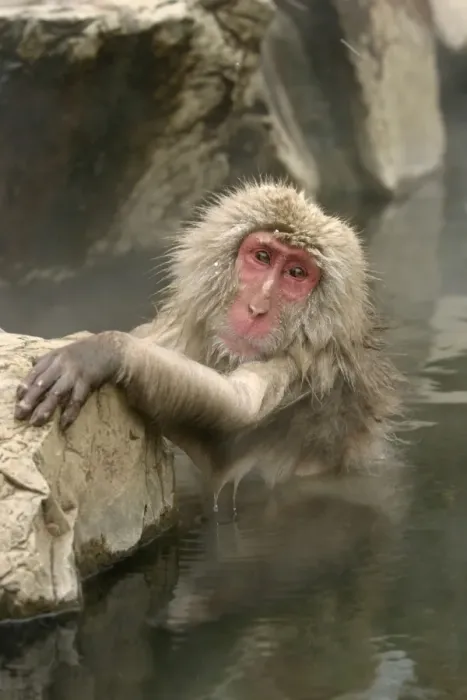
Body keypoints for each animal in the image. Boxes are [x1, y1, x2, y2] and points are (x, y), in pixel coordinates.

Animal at [14, 180, 403, 505]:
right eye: (262, 257)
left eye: (296, 273)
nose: (257, 308)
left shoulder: (303, 370)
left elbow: (232, 420)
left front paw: (106, 352)